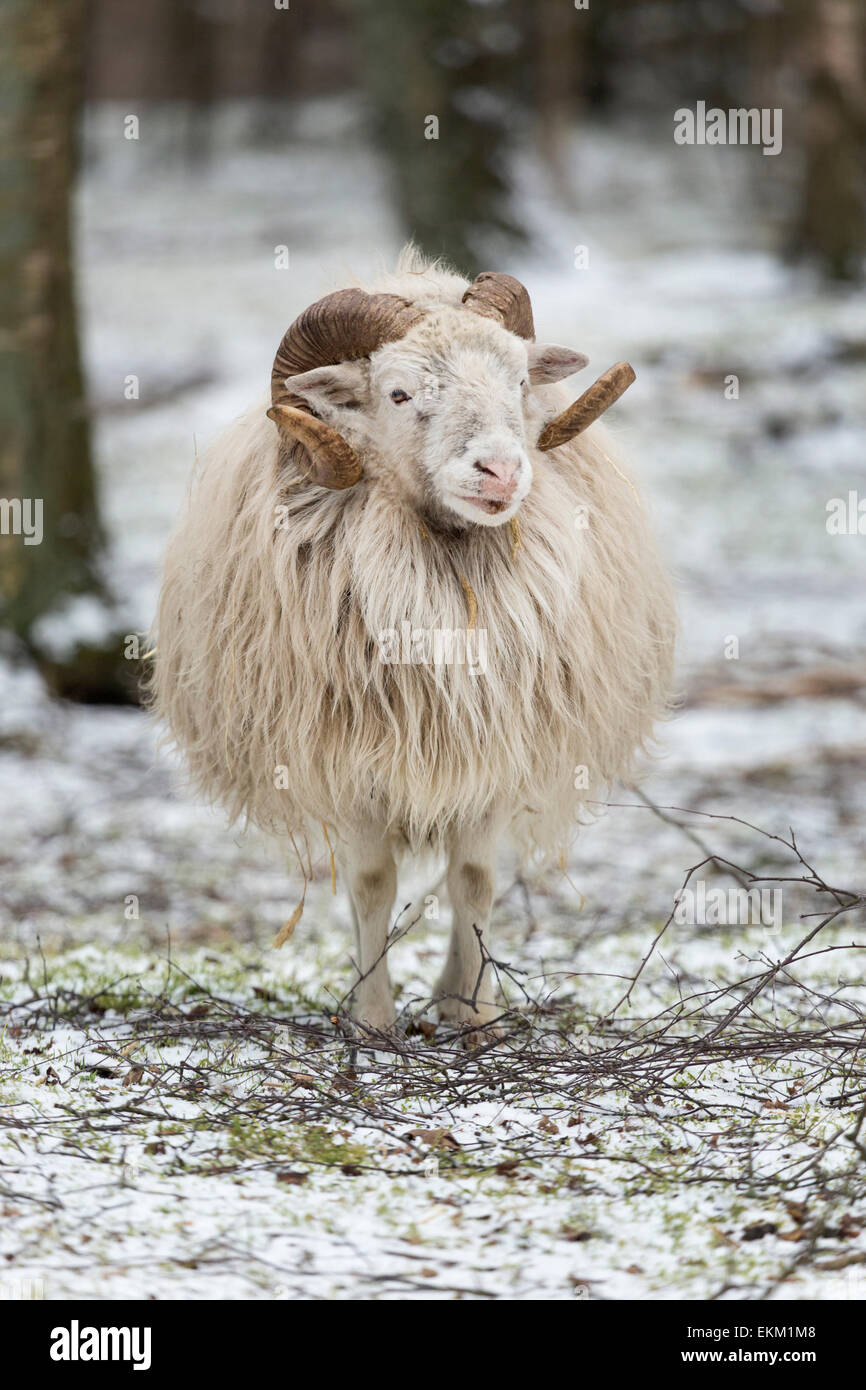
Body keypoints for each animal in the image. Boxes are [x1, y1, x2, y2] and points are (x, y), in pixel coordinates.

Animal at [150, 247, 678, 1034]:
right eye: (398, 394)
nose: (501, 470)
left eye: (521, 381)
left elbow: (474, 879)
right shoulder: (351, 764)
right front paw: (370, 1017)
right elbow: (371, 885)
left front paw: (474, 1011)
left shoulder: (493, 753)